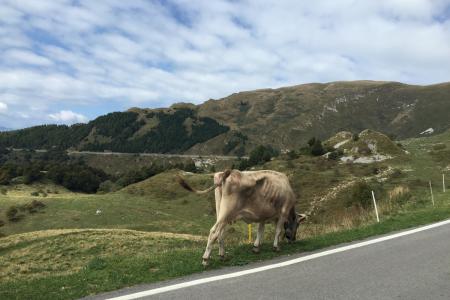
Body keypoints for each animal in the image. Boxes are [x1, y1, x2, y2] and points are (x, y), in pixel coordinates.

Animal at [177, 169, 306, 264]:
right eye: (297, 225)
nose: (293, 239)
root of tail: (228, 172)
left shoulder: (263, 216)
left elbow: (260, 230)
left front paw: (256, 247)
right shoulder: (283, 212)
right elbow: (278, 230)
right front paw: (276, 247)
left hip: (221, 212)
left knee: (221, 233)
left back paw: (222, 255)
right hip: (227, 212)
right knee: (214, 231)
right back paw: (205, 259)